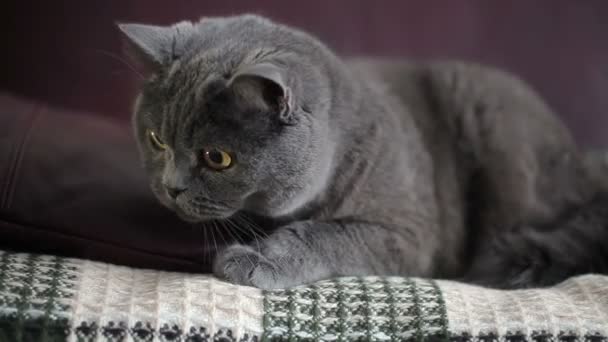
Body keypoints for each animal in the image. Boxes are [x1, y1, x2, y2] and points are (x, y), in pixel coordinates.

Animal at [119, 14, 604, 290]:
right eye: (157, 139)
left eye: (217, 158)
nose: (170, 188)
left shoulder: (410, 233)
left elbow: (324, 234)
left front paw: (256, 260)